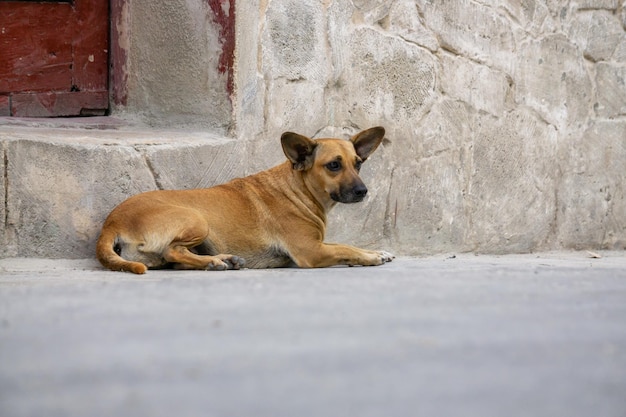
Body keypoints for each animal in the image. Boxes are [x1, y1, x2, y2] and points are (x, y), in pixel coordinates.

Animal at [96, 127, 390, 272]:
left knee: (176, 259)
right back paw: (215, 262)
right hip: (197, 219)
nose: (363, 191)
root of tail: (111, 223)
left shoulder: (317, 245)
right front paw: (371, 257)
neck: (298, 189)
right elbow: (345, 249)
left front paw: (377, 252)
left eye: (358, 164)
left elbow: (345, 245)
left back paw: (225, 260)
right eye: (333, 165)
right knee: (173, 250)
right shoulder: (311, 252)